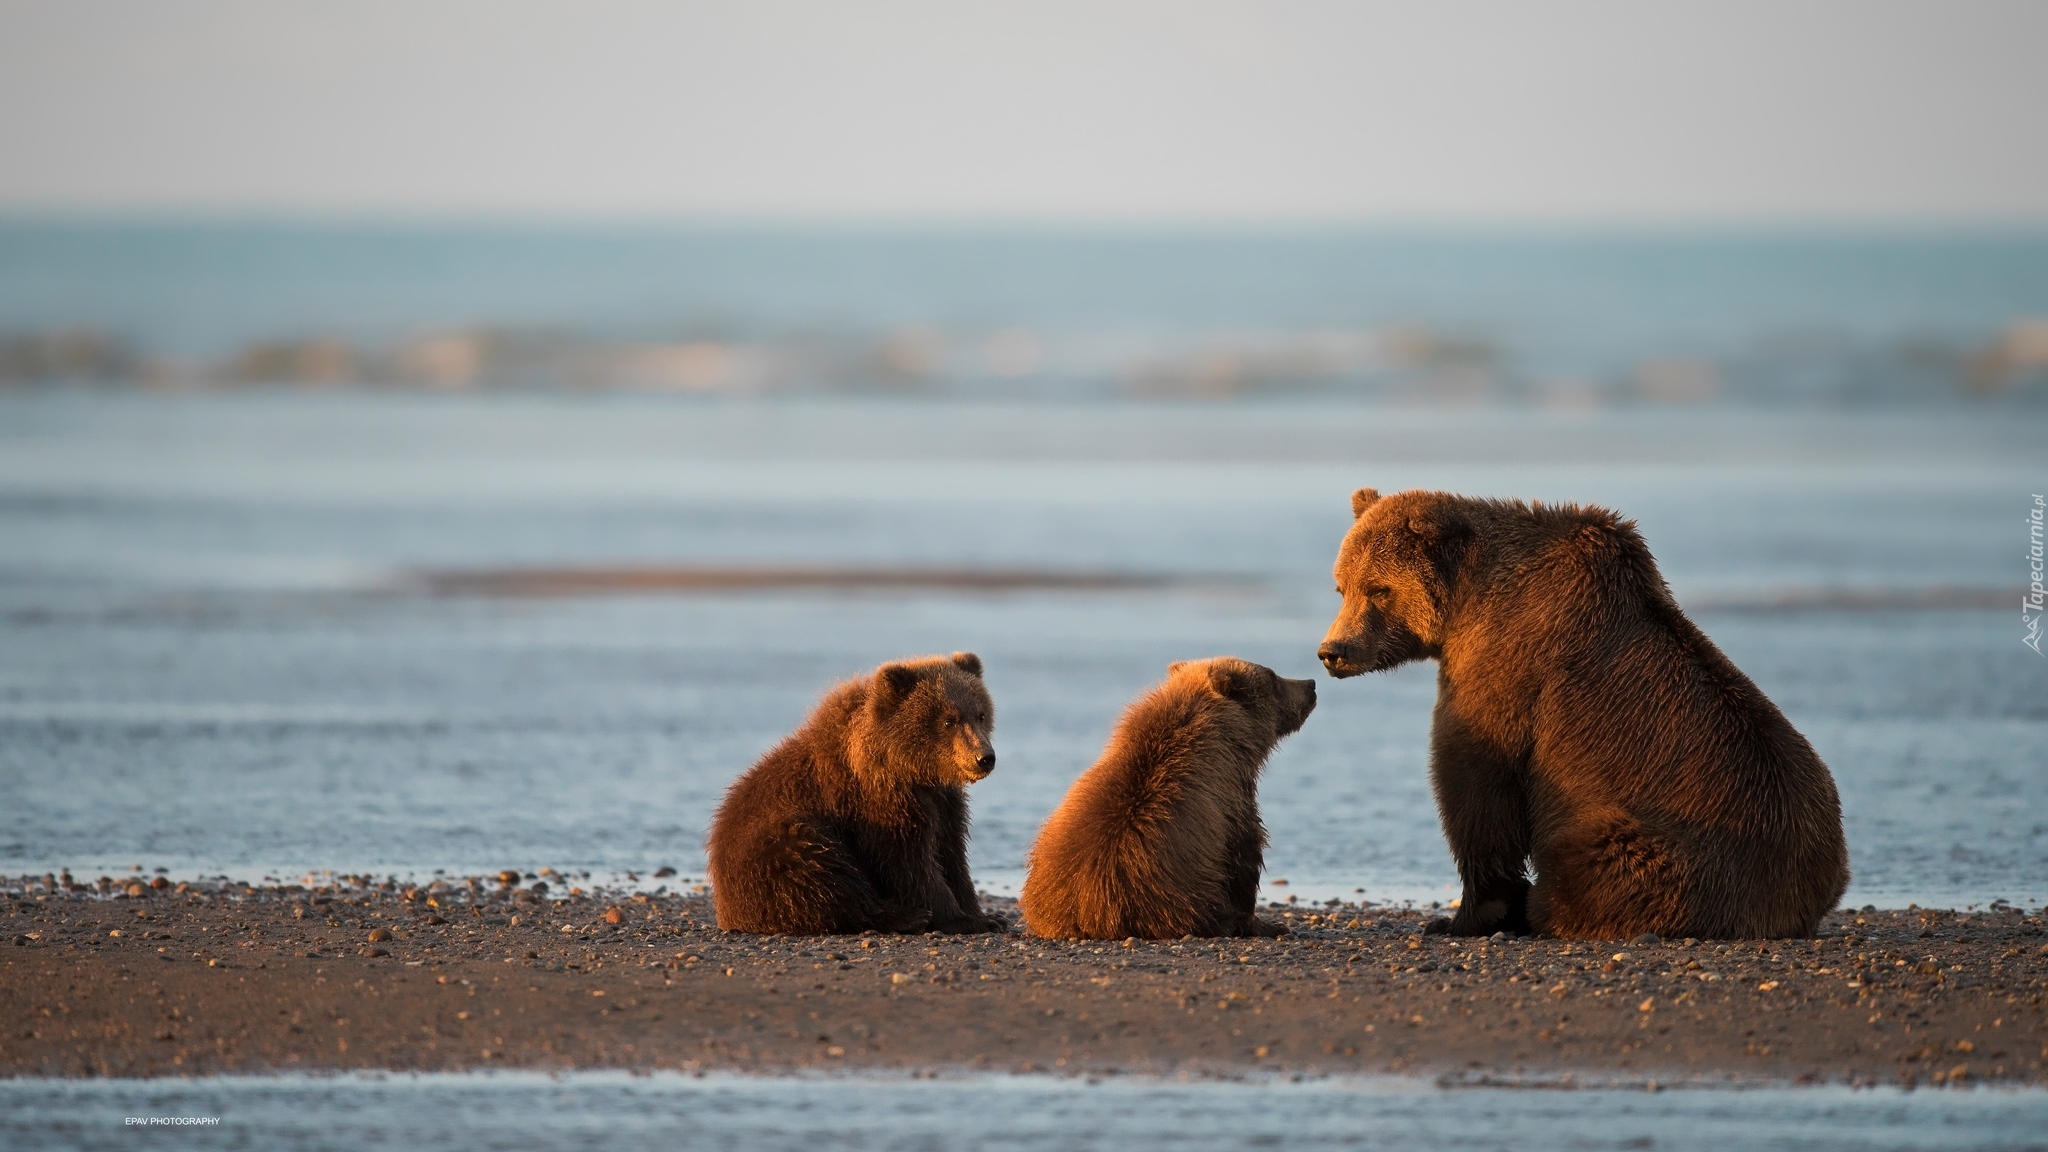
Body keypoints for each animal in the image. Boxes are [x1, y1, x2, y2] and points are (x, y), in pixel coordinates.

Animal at [708, 651, 1011, 926]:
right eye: (949, 720)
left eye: (981, 714)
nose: (984, 757)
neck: (911, 769)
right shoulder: (878, 802)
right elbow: (908, 862)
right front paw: (963, 918)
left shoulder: (943, 801)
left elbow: (951, 854)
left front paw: (985, 914)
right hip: (778, 842)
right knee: (822, 871)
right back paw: (903, 916)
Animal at [1318, 487, 1851, 938]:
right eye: (1341, 587)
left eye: (1379, 589)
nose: (1333, 651)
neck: (1466, 603)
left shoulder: (1508, 661)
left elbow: (1476, 776)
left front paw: (1462, 917)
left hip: (1670, 846)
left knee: (1589, 863)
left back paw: (1545, 910)